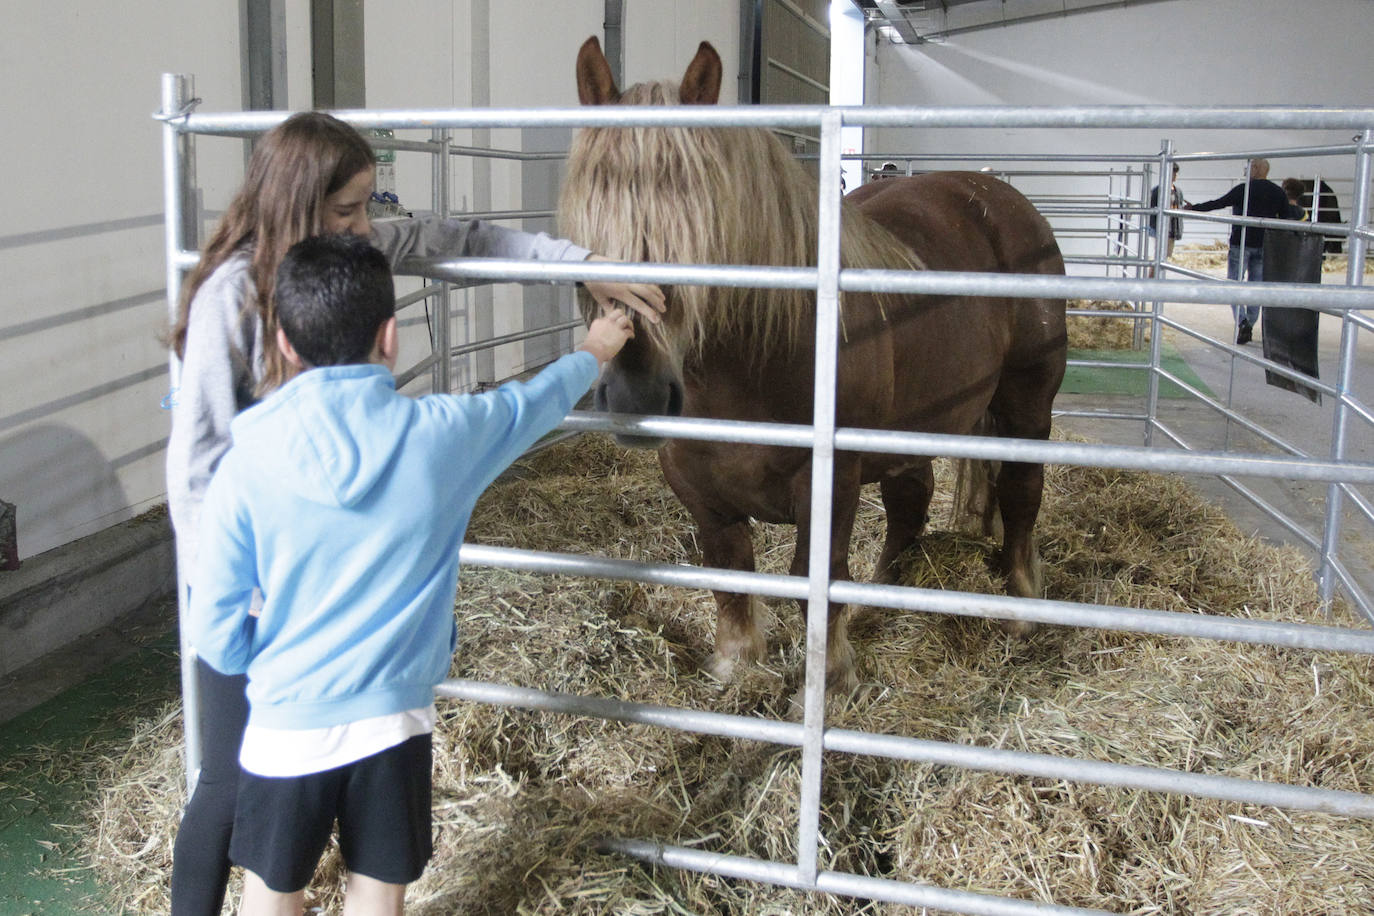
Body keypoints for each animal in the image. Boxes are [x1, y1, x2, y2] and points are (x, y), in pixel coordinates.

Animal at [563, 39, 1066, 692]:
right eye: (583, 261)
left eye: (703, 249)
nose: (636, 397)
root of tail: (999, 201)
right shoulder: (697, 489)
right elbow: (729, 573)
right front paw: (736, 665)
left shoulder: (832, 484)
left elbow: (815, 575)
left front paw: (832, 677)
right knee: (911, 502)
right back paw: (881, 599)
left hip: (1027, 406)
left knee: (1021, 496)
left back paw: (1022, 606)